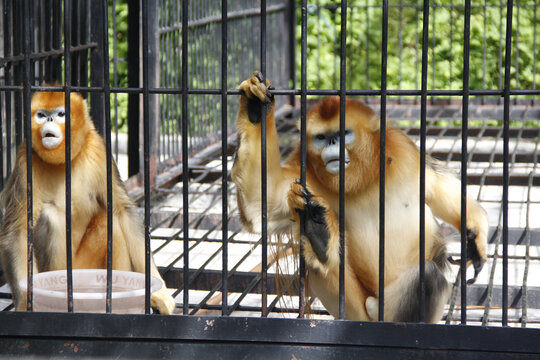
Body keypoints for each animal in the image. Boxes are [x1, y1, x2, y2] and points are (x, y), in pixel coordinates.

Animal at [0, 90, 175, 316]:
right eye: (41, 115)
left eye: (60, 114)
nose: (49, 120)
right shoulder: (24, 160)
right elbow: (17, 230)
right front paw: (24, 303)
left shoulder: (99, 150)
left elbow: (123, 211)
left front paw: (159, 292)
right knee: (50, 216)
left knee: (111, 223)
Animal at [232, 71, 490, 324]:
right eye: (322, 137)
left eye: (343, 134)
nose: (332, 142)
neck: (361, 180)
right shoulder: (303, 171)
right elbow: (260, 207)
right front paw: (255, 109)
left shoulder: (403, 149)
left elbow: (436, 185)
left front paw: (474, 237)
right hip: (357, 309)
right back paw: (318, 233)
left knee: (428, 276)